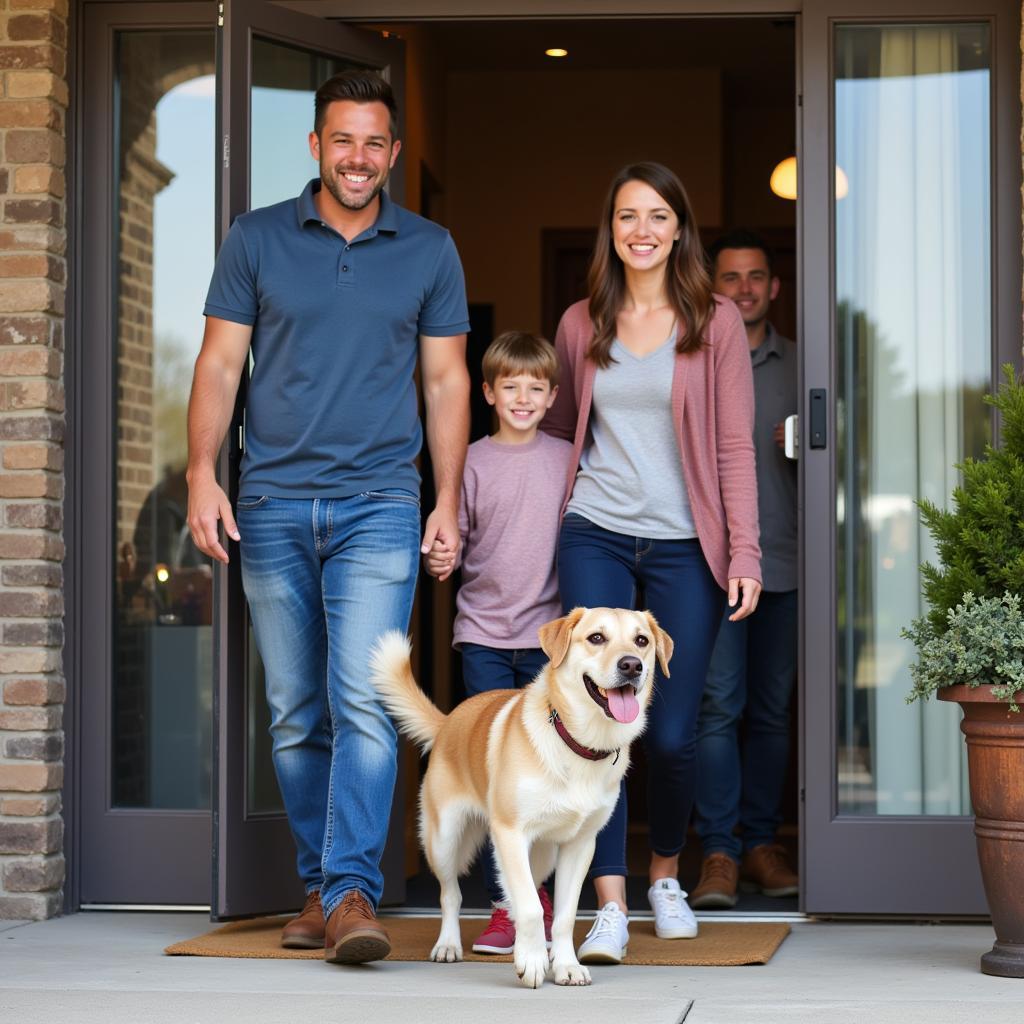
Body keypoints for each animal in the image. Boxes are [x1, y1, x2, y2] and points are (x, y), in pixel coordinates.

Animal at [368, 606, 671, 983]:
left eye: (641, 641)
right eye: (596, 638)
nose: (632, 665)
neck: (577, 743)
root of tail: (448, 719)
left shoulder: (580, 845)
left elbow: (563, 915)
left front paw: (565, 964)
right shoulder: (510, 834)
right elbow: (528, 906)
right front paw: (532, 961)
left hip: (542, 856)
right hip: (444, 839)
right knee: (451, 895)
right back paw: (449, 944)